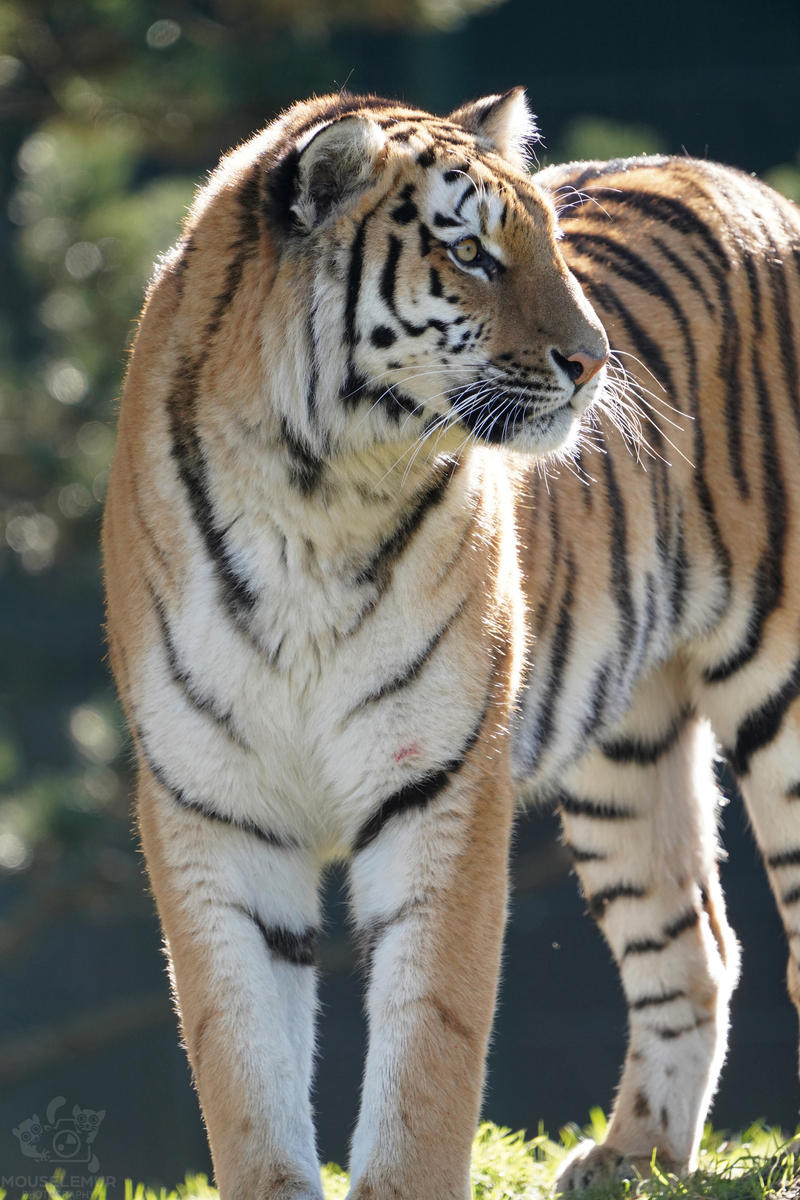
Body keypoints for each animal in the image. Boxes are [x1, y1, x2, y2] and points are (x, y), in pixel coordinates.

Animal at [100, 84, 800, 1200]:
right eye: (470, 253)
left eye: (546, 243)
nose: (593, 362)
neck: (314, 488)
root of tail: (739, 182)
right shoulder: (211, 801)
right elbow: (239, 1053)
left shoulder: (438, 781)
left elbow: (429, 1044)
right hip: (625, 748)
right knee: (691, 942)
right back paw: (632, 1158)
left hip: (778, 688)